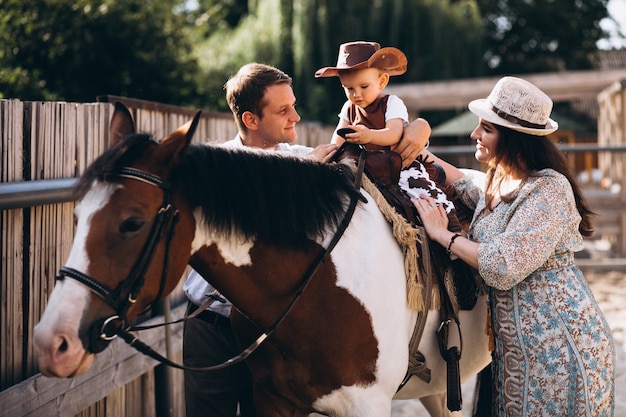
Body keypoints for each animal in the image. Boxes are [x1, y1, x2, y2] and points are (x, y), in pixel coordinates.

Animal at [33, 101, 492, 416]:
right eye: (77, 215)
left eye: (132, 222)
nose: (53, 342)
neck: (317, 284)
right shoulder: (272, 400)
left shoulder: (368, 405)